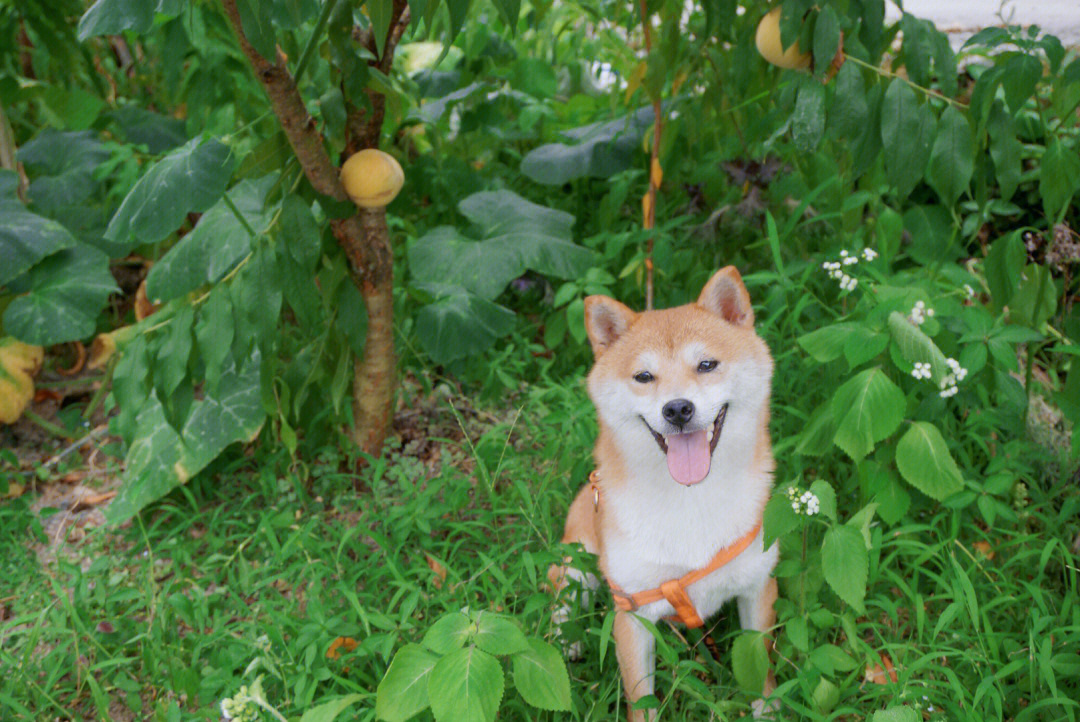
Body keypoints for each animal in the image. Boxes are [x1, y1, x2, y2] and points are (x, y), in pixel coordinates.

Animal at [548, 267, 777, 716]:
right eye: (644, 376)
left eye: (706, 364)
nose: (677, 409)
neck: (690, 499)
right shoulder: (633, 613)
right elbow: (643, 701)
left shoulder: (758, 585)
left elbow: (761, 674)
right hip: (577, 558)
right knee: (559, 600)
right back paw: (566, 643)